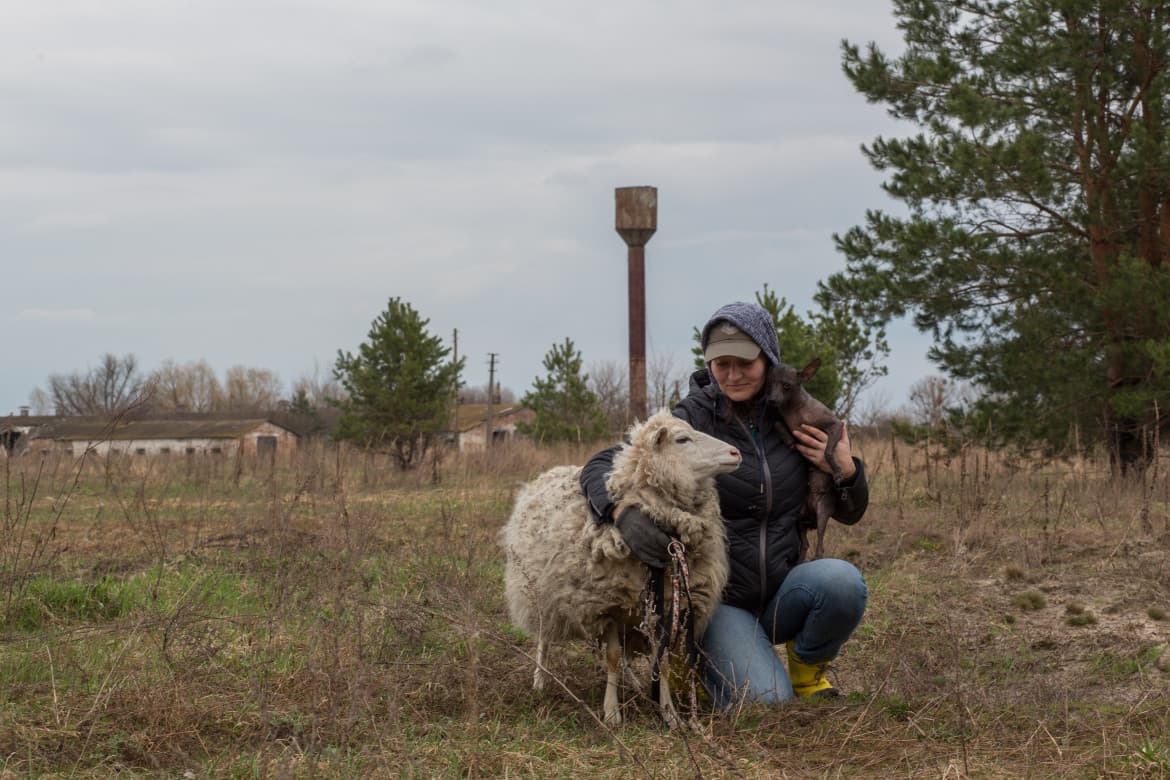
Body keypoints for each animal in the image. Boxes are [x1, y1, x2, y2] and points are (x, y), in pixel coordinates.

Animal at [500, 409, 739, 725]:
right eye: (682, 439)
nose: (736, 452)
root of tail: (548, 472)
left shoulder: (663, 606)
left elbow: (662, 660)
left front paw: (669, 714)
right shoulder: (607, 606)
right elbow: (612, 657)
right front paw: (612, 712)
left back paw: (635, 684)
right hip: (540, 592)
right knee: (544, 637)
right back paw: (540, 679)